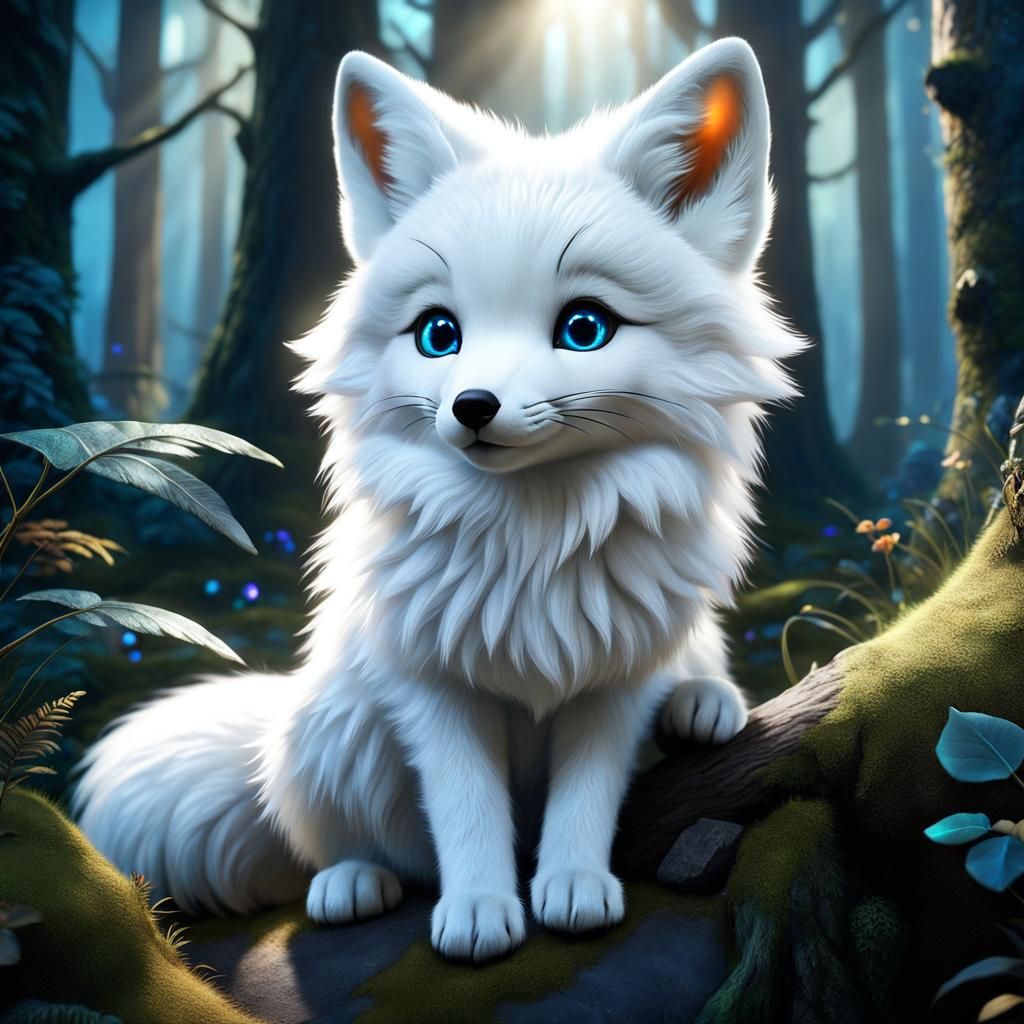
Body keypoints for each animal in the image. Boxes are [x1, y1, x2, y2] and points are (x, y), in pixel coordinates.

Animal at [74, 37, 802, 963]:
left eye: (585, 328)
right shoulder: (429, 686)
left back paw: (704, 702)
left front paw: (571, 885)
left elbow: (587, 793)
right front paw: (481, 909)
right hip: (335, 733)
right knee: (338, 835)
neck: (533, 540)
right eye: (437, 335)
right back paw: (350, 883)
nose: (473, 406)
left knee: (694, 668)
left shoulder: (614, 677)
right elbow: (465, 807)